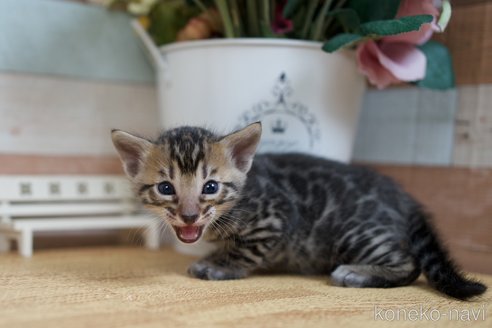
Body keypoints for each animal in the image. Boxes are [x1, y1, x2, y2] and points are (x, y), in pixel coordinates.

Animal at [112, 122, 488, 300]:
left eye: (210, 187)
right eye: (166, 189)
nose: (189, 216)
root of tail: (403, 196)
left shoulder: (275, 217)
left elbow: (244, 251)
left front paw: (221, 266)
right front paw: (215, 256)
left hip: (355, 232)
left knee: (409, 264)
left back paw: (358, 273)